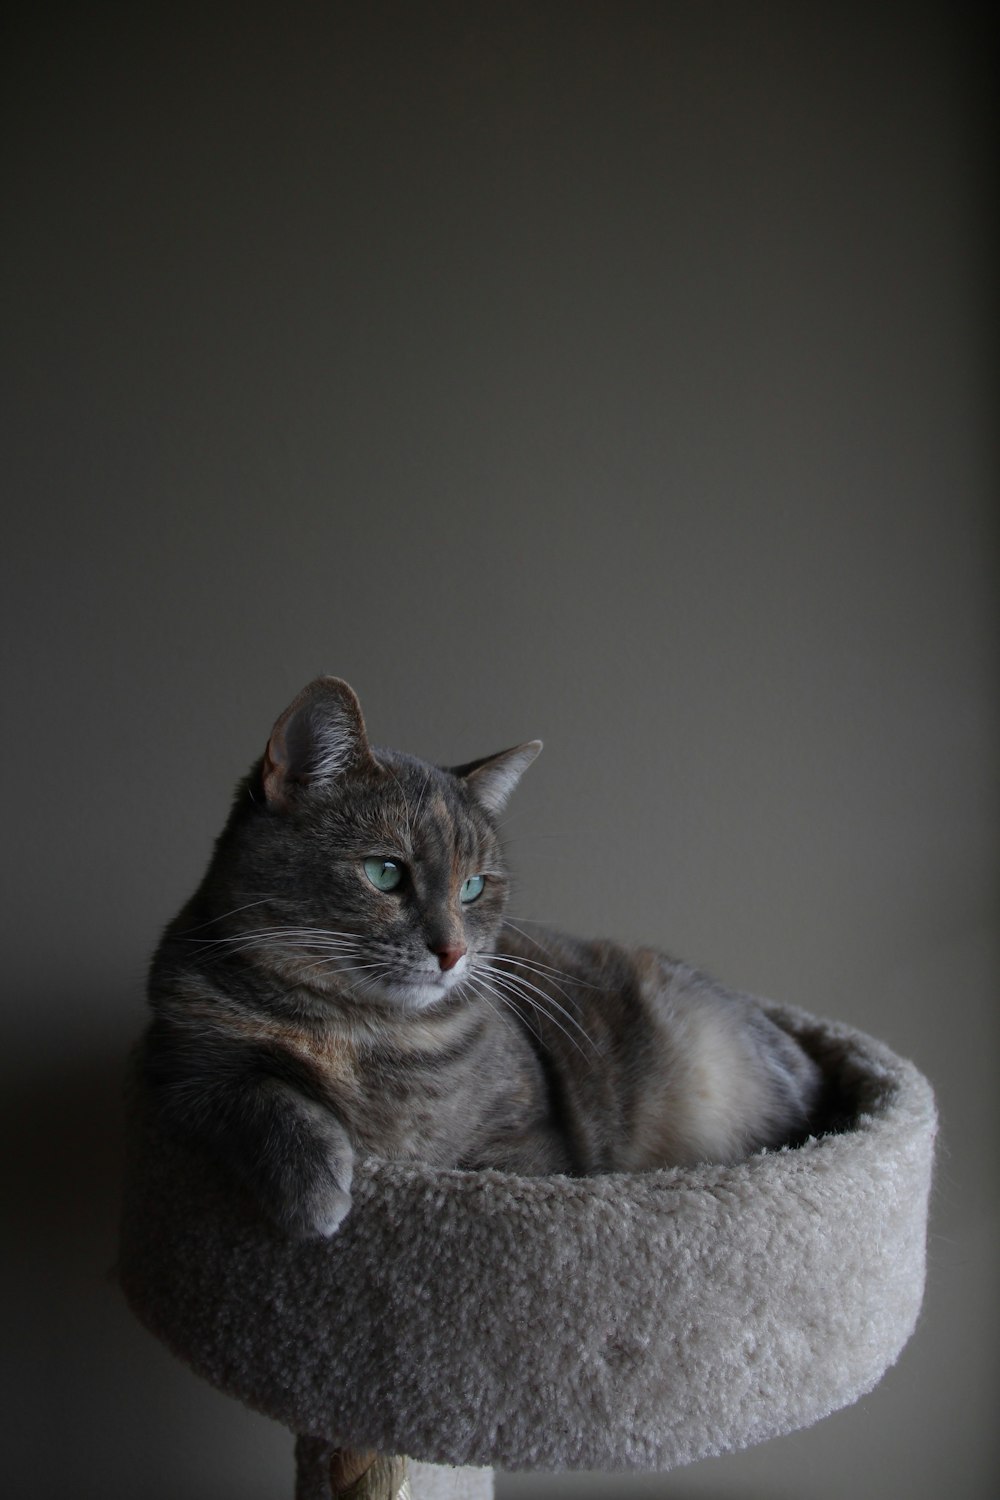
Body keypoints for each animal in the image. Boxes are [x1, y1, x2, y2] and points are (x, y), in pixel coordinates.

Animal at [142, 675, 821, 1236]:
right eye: (384, 872)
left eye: (473, 886)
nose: (453, 951)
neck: (363, 1035)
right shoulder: (175, 1069)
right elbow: (260, 1093)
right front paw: (314, 1187)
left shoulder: (530, 1142)